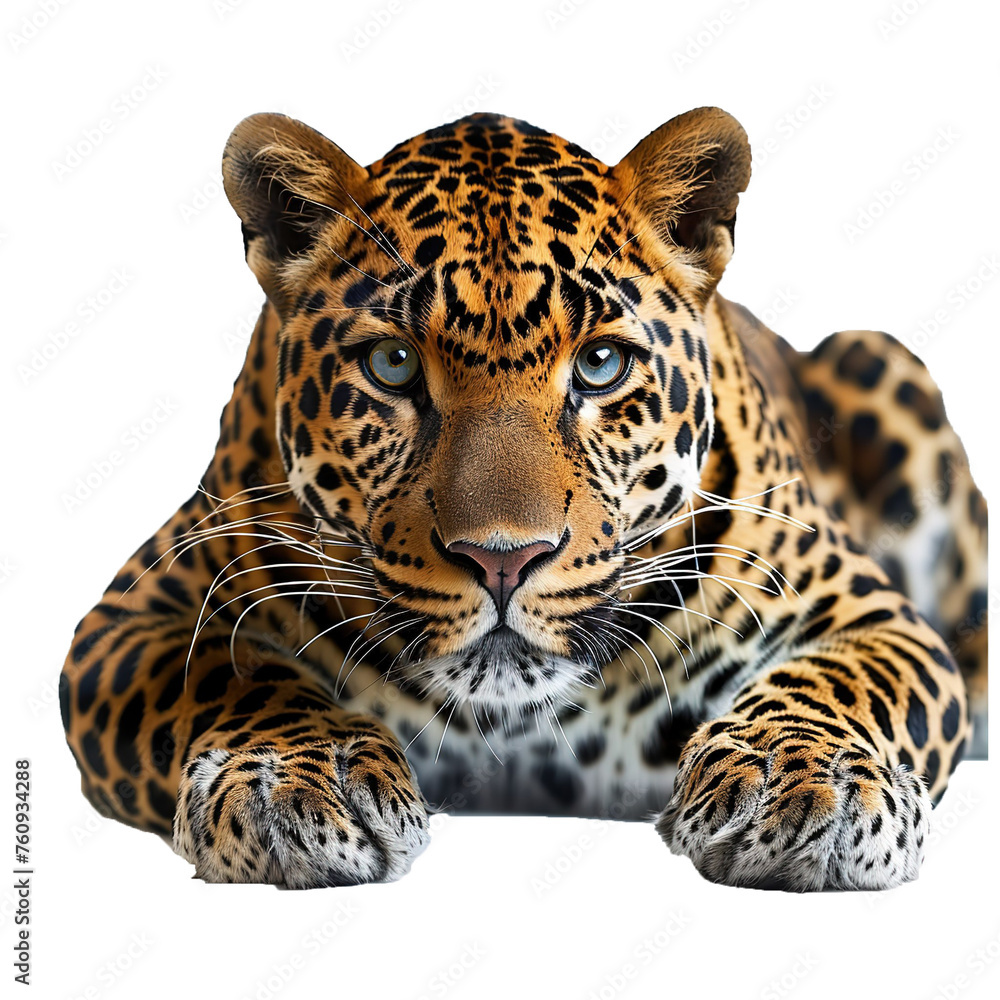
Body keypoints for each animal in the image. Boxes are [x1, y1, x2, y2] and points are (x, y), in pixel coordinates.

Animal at [59, 107, 987, 891]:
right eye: (393, 364)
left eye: (601, 365)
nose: (502, 560)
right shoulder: (135, 615)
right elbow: (232, 673)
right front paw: (287, 781)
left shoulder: (864, 611)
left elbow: (844, 684)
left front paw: (810, 790)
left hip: (882, 359)